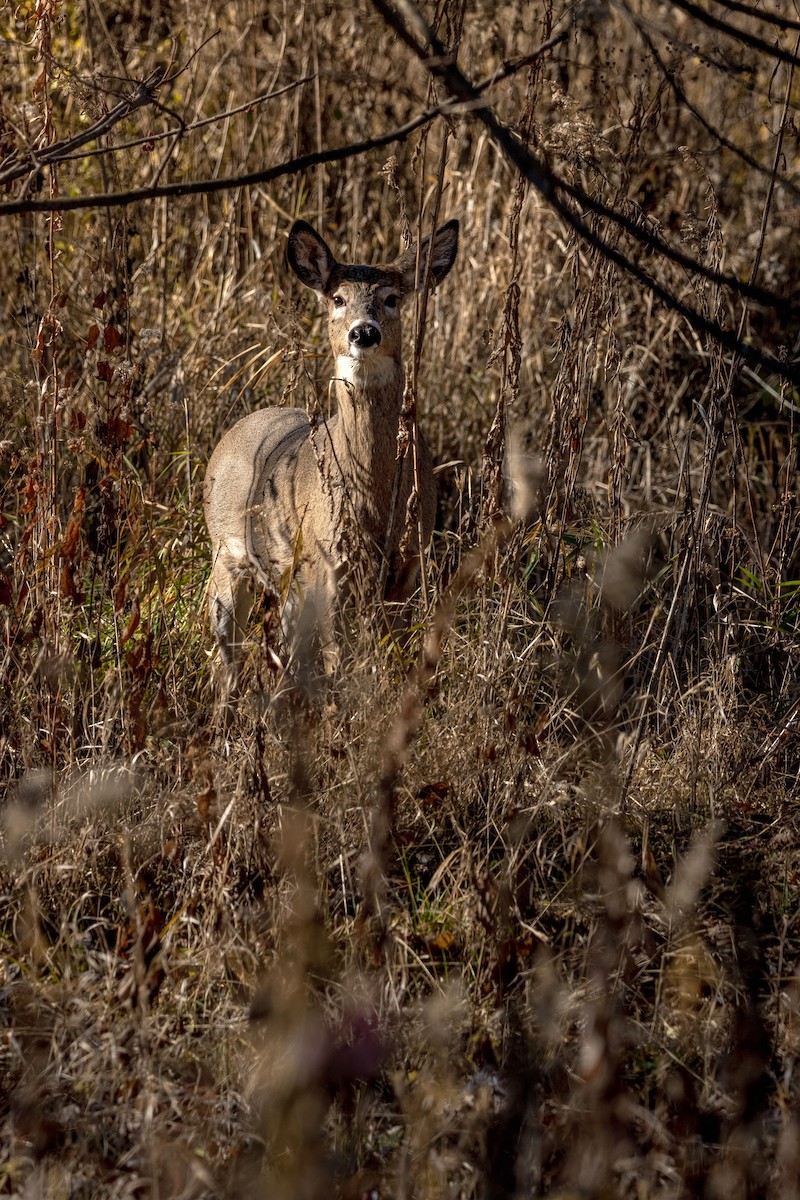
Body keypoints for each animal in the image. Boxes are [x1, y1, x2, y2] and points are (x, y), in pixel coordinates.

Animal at [202, 216, 459, 698]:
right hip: (225, 553)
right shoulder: (327, 563)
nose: (364, 332)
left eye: (392, 298)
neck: (375, 499)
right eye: (337, 298)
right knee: (228, 655)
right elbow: (338, 660)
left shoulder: (408, 564)